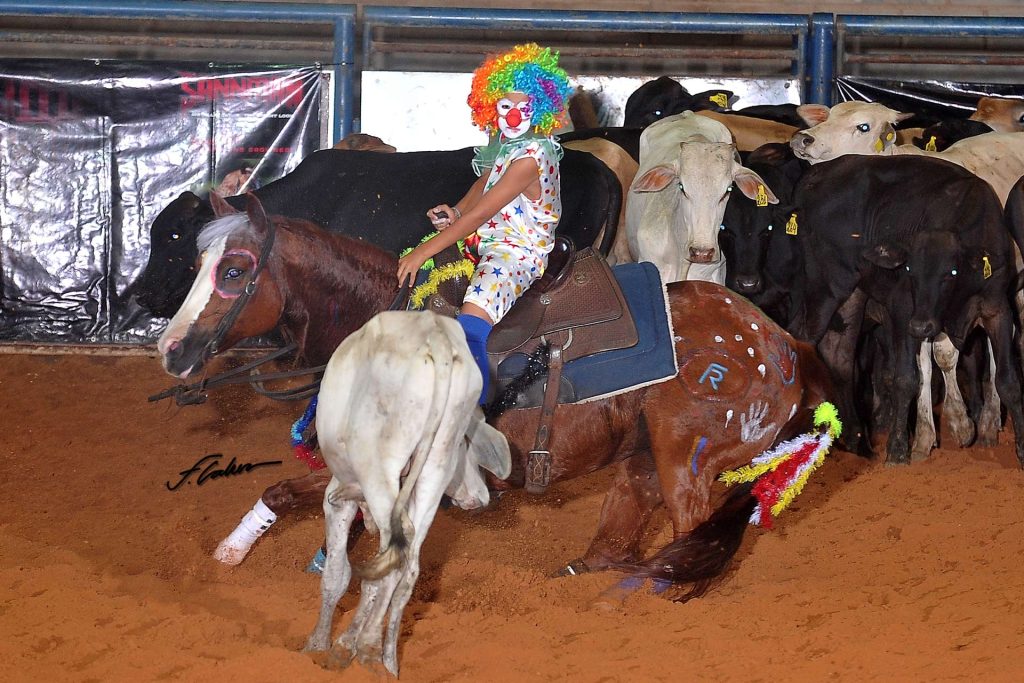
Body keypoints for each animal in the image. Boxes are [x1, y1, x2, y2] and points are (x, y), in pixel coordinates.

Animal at [157, 193, 831, 598]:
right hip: (639, 461)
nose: (170, 348)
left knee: (689, 545)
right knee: (616, 551)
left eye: (235, 271)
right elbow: (290, 495)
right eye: (196, 264)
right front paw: (233, 554)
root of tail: (780, 342)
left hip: (684, 463)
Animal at [303, 311, 512, 679]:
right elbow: (373, 581)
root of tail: (435, 334)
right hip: (433, 470)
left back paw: (368, 648)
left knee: (395, 554)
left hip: (379, 472)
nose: (480, 497)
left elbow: (337, 575)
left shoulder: (339, 501)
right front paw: (346, 642)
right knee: (407, 567)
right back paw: (387, 659)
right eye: (467, 444)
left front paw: (319, 645)